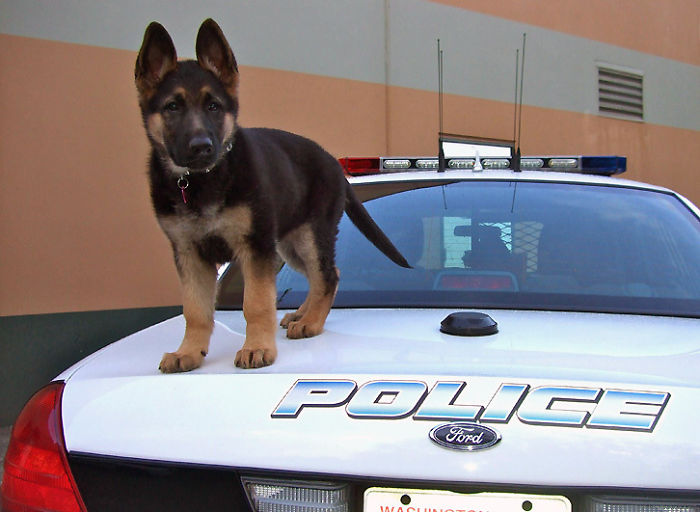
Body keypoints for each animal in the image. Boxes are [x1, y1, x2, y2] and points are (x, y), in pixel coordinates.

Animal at [134, 20, 408, 372]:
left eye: (213, 106)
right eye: (172, 107)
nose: (202, 147)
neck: (199, 182)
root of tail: (333, 163)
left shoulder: (255, 248)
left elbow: (257, 303)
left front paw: (257, 348)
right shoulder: (188, 253)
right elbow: (195, 311)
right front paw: (189, 352)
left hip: (308, 236)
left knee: (327, 275)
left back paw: (312, 323)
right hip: (289, 244)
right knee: (323, 276)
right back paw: (304, 314)